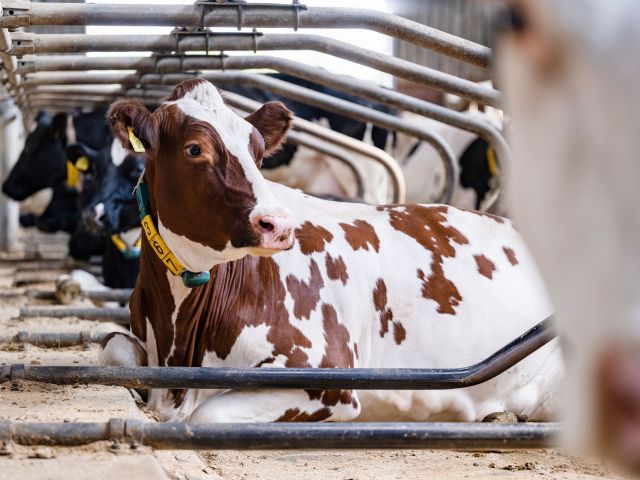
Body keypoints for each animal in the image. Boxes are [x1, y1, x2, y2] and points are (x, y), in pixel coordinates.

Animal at [99, 79, 563, 424]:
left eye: (258, 152)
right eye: (195, 149)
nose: (278, 225)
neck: (179, 339)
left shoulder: (328, 380)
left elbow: (207, 415)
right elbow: (111, 347)